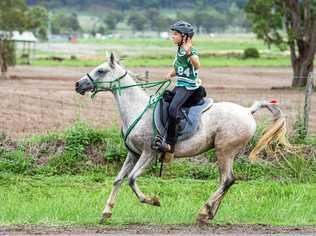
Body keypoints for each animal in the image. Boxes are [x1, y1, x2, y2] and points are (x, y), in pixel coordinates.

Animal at [75, 53, 288, 225]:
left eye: (101, 70)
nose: (78, 84)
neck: (138, 109)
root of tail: (247, 110)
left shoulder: (148, 154)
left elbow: (132, 179)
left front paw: (154, 201)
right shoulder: (133, 155)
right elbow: (118, 180)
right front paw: (106, 213)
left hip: (224, 151)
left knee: (227, 180)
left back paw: (204, 211)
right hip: (227, 153)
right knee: (226, 181)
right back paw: (209, 213)